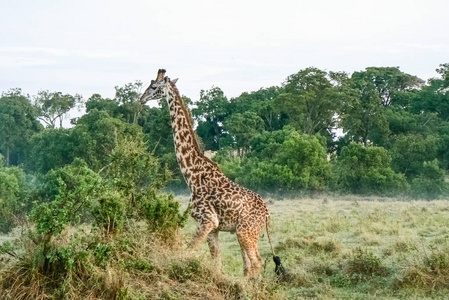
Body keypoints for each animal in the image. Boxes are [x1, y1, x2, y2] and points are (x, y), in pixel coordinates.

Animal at [140, 69, 274, 276]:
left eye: (154, 86)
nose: (141, 98)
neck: (191, 175)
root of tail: (267, 215)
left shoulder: (208, 221)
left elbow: (188, 251)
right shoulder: (213, 228)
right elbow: (216, 264)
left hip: (246, 232)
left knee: (257, 263)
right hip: (244, 232)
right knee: (249, 266)